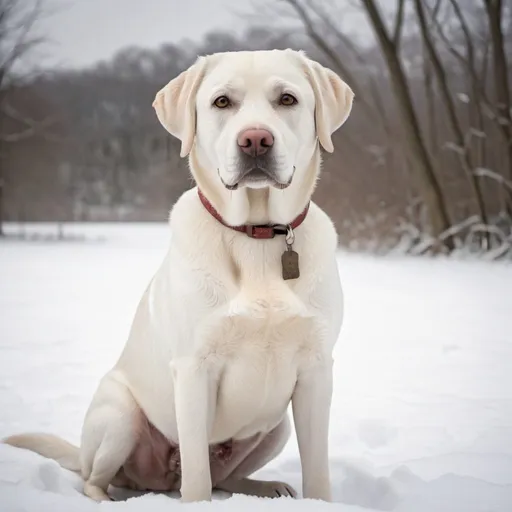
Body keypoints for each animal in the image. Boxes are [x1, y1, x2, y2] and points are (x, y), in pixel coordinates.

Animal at [4, 49, 354, 504]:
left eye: (287, 99)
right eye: (222, 102)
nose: (255, 140)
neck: (256, 236)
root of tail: (160, 481)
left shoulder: (315, 370)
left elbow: (317, 472)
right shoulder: (193, 369)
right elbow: (198, 478)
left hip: (277, 428)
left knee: (226, 477)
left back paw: (265, 487)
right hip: (120, 414)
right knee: (96, 478)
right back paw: (109, 499)